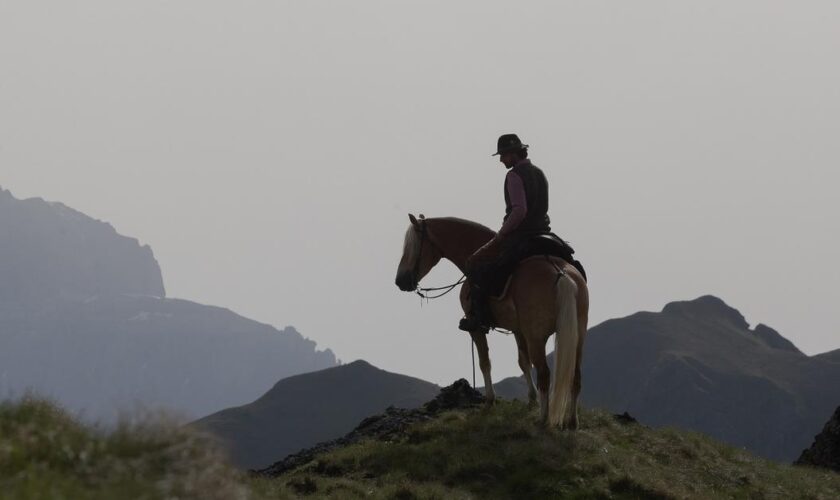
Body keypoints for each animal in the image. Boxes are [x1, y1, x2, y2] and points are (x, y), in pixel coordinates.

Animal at [396, 213, 588, 428]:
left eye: (412, 246)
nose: (400, 280)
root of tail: (561, 274)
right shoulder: (518, 330)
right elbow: (523, 361)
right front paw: (531, 399)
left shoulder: (477, 328)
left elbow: (484, 362)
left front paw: (489, 401)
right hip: (577, 336)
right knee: (575, 376)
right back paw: (572, 422)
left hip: (537, 338)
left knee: (545, 374)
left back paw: (543, 420)